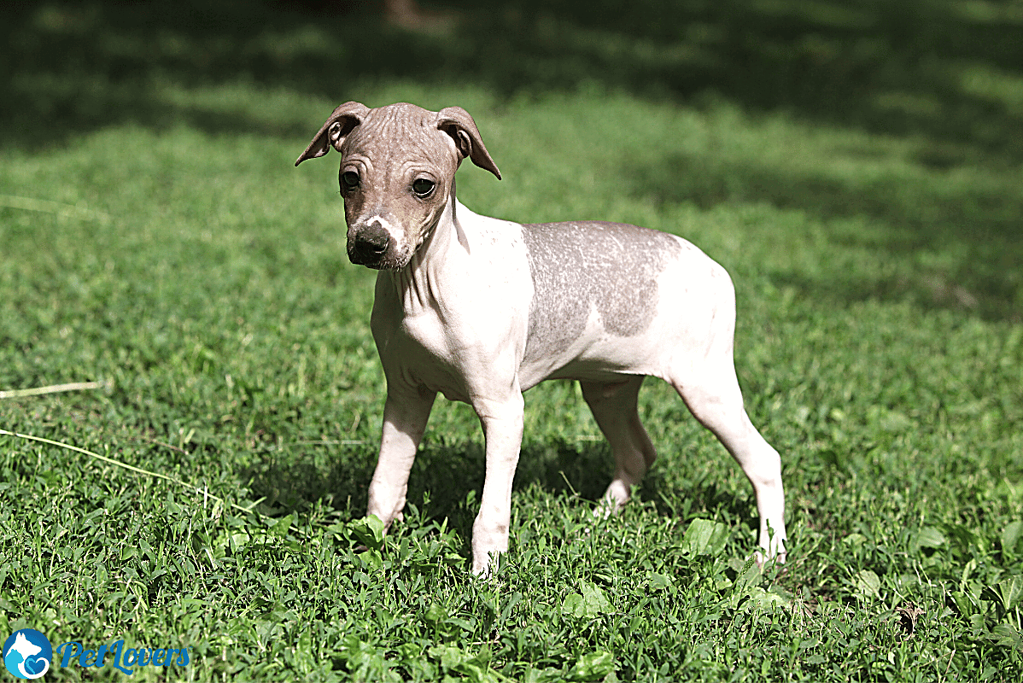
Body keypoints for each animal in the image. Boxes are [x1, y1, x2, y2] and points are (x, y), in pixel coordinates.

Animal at [292, 102, 785, 576]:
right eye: (349, 179)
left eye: (423, 186)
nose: (370, 243)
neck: (421, 284)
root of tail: (716, 267)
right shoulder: (404, 394)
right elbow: (385, 483)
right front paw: (370, 545)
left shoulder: (504, 409)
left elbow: (491, 511)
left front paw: (485, 578)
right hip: (607, 389)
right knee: (638, 453)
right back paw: (595, 522)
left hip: (706, 388)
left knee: (765, 461)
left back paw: (770, 554)